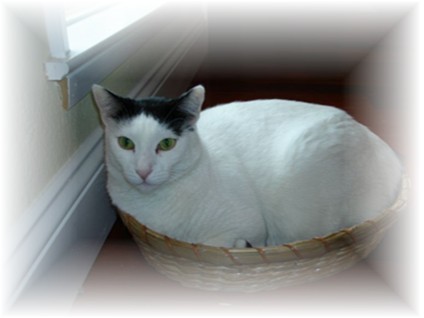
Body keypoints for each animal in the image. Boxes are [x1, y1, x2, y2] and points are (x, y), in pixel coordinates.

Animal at [91, 84, 402, 248]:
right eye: (126, 143)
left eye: (166, 144)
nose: (143, 171)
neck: (156, 208)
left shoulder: (247, 222)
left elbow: (214, 241)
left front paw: (237, 244)